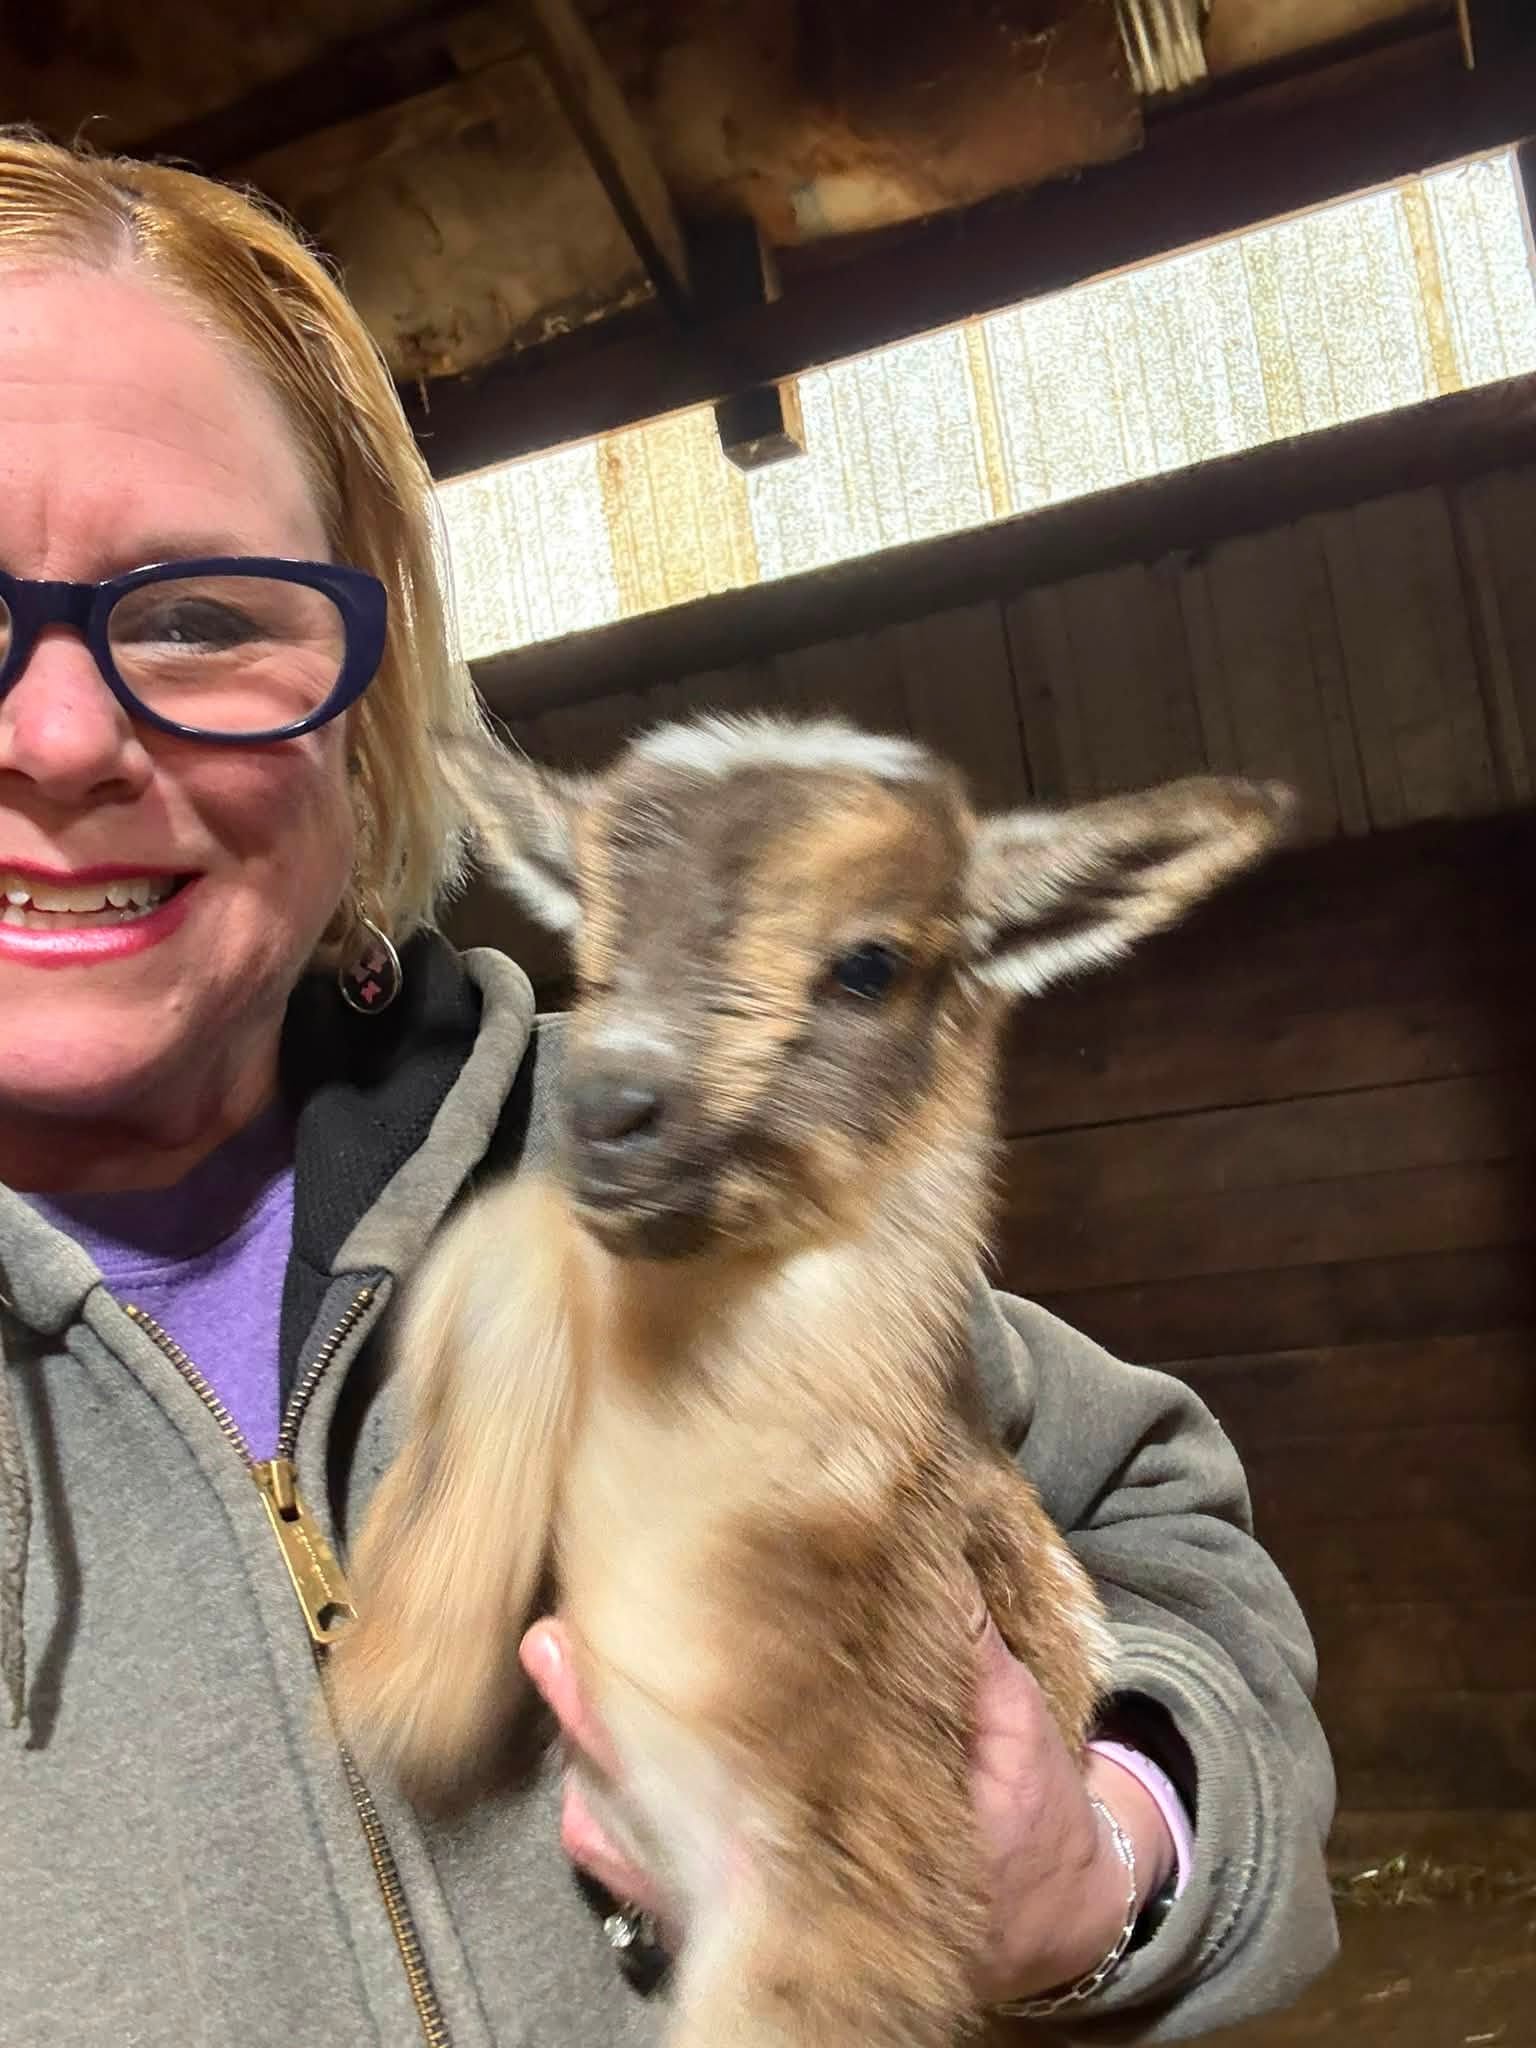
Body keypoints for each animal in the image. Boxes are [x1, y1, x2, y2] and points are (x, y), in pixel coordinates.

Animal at [331, 715, 1291, 2047]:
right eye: (594, 932)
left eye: (870, 965)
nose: (608, 1107)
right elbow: (507, 1228)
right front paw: (412, 1650)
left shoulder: (861, 1839)